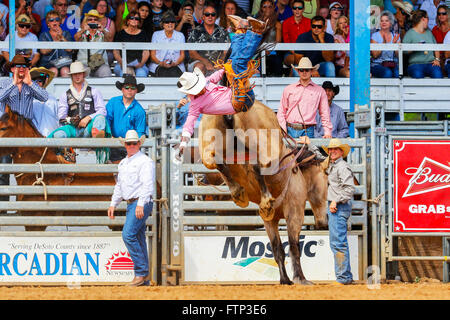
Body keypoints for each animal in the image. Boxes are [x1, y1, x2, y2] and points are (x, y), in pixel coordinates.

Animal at [199, 100, 328, 284]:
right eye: (327, 181)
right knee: (256, 163)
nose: (323, 222)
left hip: (209, 142)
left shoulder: (270, 221)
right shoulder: (295, 213)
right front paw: (300, 279)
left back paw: (239, 193)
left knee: (216, 161)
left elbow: (277, 249)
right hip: (262, 145)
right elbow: (294, 247)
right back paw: (265, 199)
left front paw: (285, 280)